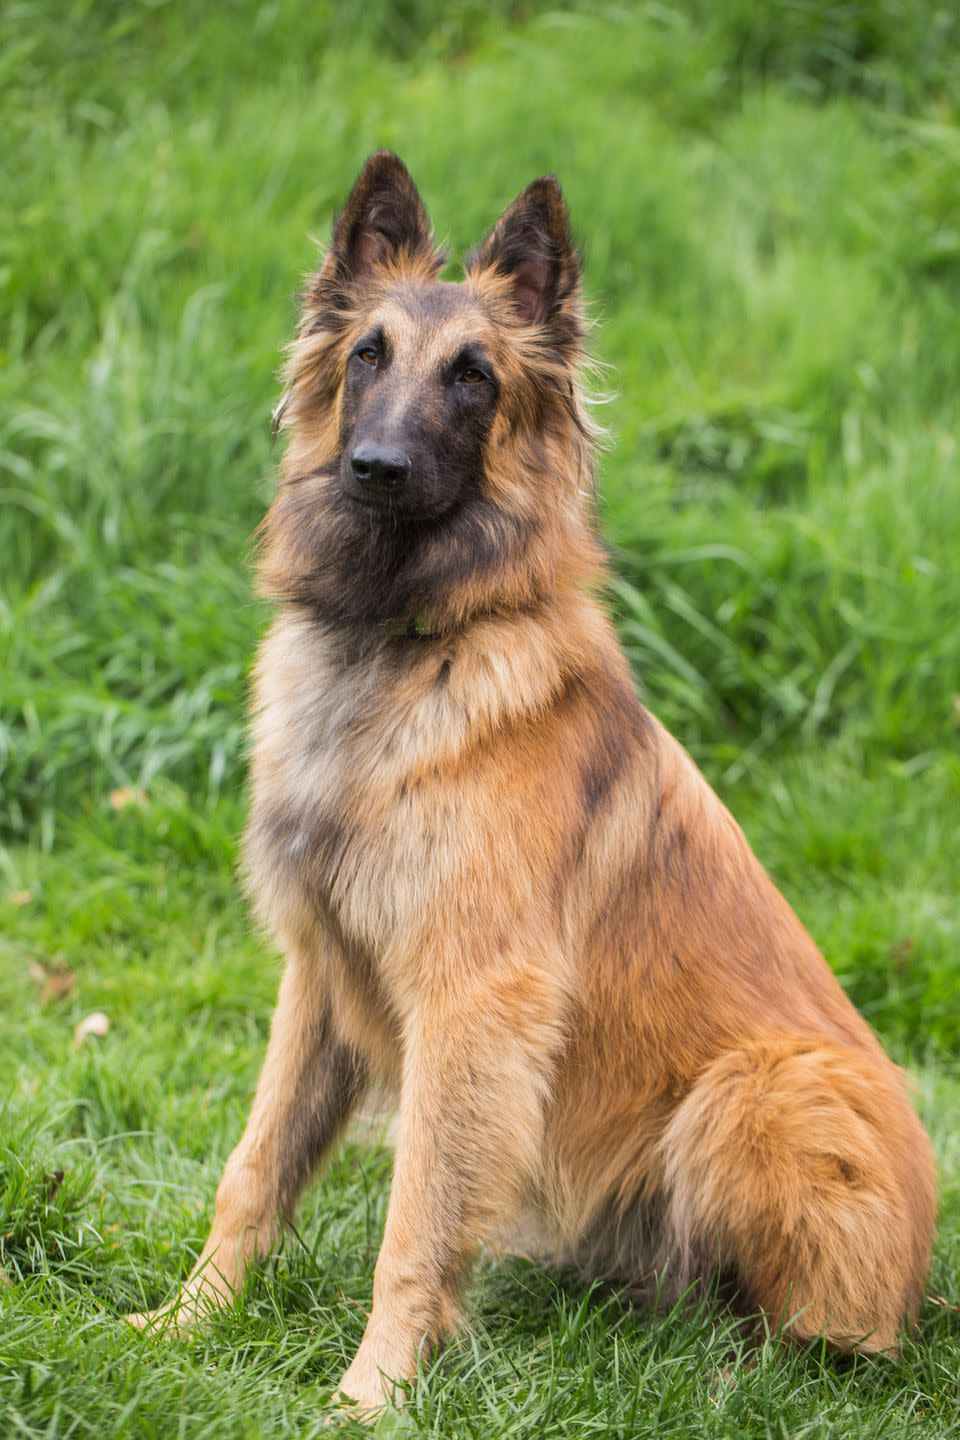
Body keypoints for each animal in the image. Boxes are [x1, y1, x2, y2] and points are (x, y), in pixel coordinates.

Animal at [123, 151, 932, 1411]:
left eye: (474, 378)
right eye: (368, 355)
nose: (375, 468)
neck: (406, 642)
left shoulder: (474, 1004)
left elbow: (416, 1217)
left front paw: (373, 1393)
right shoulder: (321, 974)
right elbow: (255, 1167)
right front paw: (188, 1324)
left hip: (753, 1091)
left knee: (830, 1343)